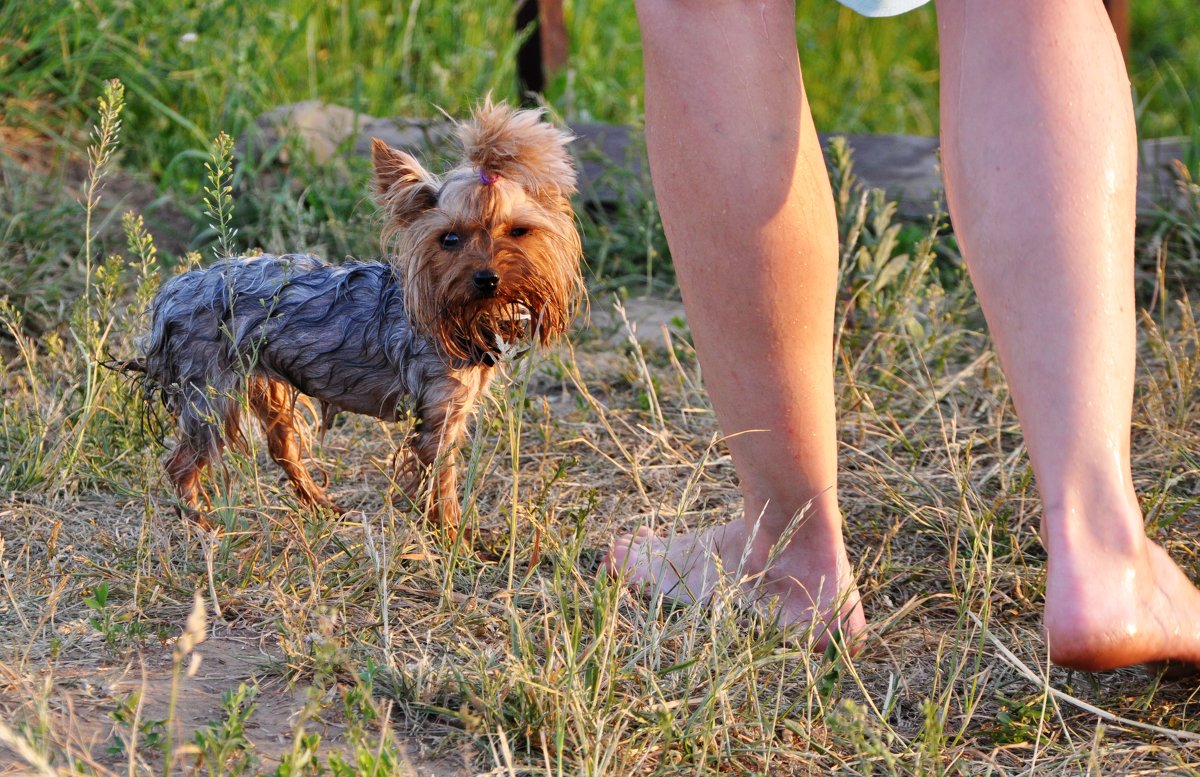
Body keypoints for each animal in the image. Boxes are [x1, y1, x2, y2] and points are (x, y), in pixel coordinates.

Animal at [127, 100, 585, 529]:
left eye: (518, 232)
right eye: (450, 239)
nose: (487, 278)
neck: (460, 315)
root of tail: (171, 292)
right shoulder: (441, 410)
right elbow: (442, 482)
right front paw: (457, 538)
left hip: (263, 385)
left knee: (281, 448)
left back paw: (321, 505)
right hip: (211, 394)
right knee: (182, 464)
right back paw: (203, 522)